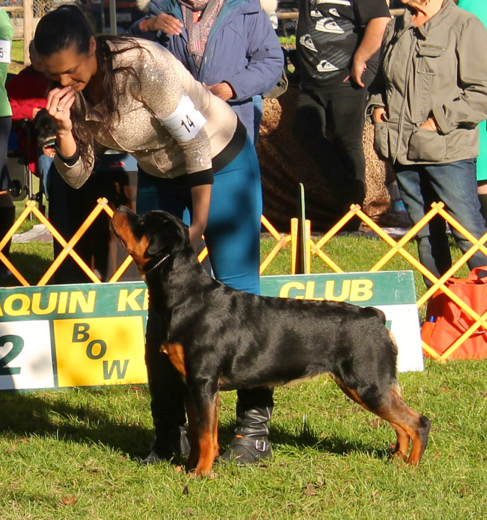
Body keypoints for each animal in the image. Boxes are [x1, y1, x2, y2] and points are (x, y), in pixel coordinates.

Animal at [110, 207, 431, 476]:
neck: (186, 295)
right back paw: (396, 461)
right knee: (400, 423)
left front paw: (201, 474)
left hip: (367, 383)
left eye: (142, 222)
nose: (122, 208)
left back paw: (412, 466)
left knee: (417, 422)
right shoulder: (190, 384)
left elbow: (205, 435)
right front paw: (188, 469)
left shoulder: (203, 382)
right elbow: (197, 431)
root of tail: (374, 315)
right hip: (368, 385)